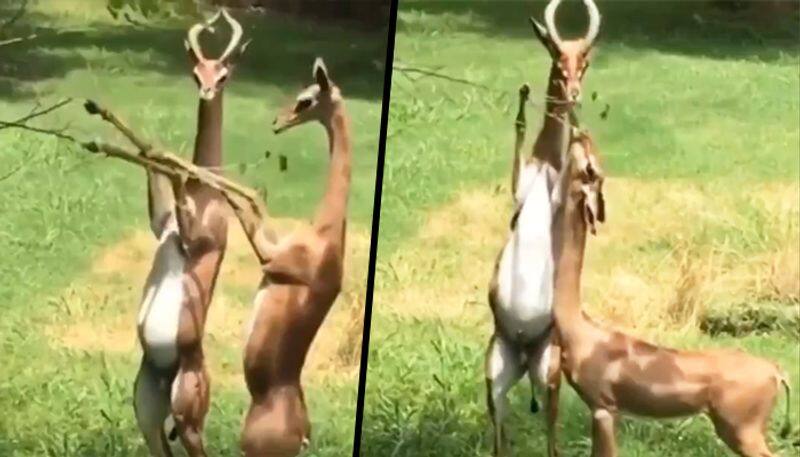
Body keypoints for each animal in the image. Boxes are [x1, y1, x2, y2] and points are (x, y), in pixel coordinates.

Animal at [133, 10, 248, 456]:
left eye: (225, 73)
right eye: (196, 70)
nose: (206, 90)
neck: (207, 192)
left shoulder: (201, 237)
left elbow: (178, 185)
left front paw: (176, 166)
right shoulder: (160, 226)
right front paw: (149, 146)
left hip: (188, 418)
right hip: (147, 411)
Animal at [223, 58, 352, 456]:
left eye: (306, 99)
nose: (277, 121)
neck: (324, 234)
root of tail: (301, 437)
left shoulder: (272, 259)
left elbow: (246, 198)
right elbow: (252, 198)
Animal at [548, 126, 792, 454]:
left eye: (591, 169)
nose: (581, 132)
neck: (580, 329)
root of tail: (776, 373)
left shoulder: (603, 406)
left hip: (742, 428)